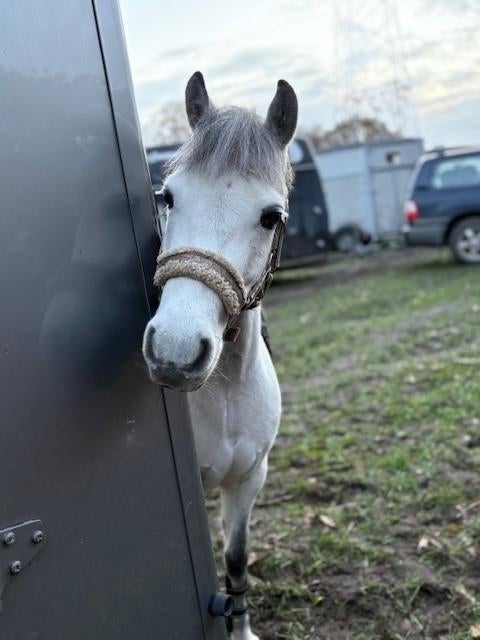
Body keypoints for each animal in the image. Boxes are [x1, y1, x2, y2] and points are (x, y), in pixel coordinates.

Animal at [143, 71, 297, 640]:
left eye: (271, 216)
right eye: (167, 196)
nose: (175, 351)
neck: (226, 388)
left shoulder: (248, 479)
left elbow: (234, 558)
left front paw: (243, 628)